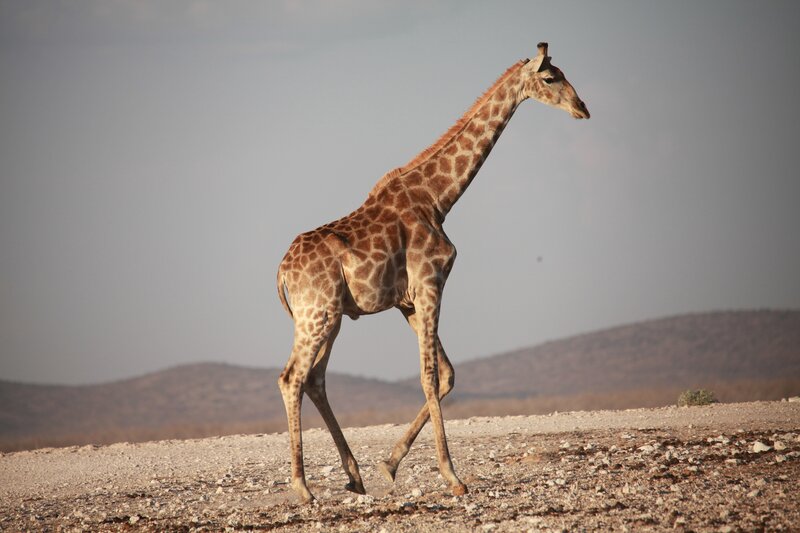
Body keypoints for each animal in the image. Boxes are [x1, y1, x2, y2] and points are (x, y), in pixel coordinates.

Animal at [276, 43, 589, 503]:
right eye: (551, 78)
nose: (582, 108)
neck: (438, 198)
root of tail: (281, 272)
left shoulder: (407, 301)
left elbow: (447, 376)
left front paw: (389, 464)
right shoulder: (430, 282)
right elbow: (429, 377)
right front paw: (452, 476)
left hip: (329, 317)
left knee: (315, 379)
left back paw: (354, 476)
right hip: (317, 315)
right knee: (292, 378)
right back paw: (303, 487)